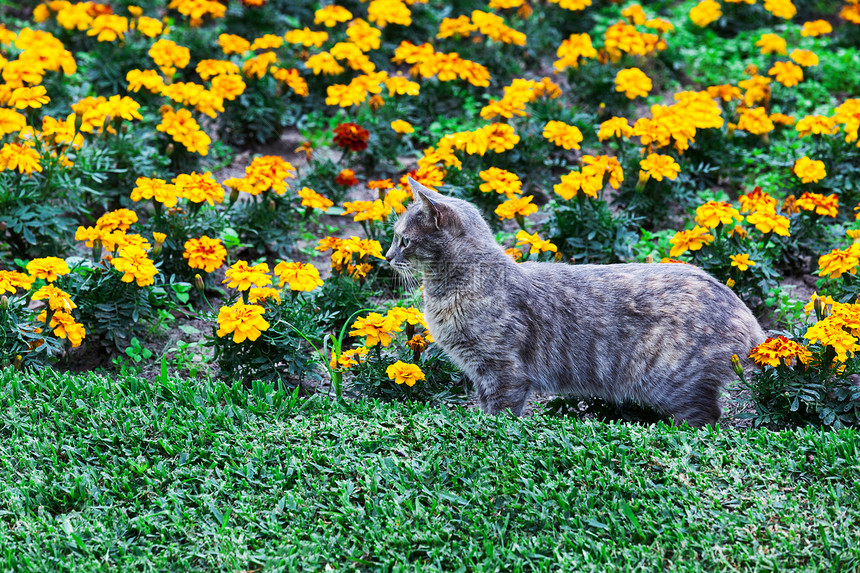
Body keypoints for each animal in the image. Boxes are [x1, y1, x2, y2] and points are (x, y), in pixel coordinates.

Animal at [386, 178, 764, 424]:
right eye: (394, 238)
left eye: (404, 240)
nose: (386, 256)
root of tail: (748, 316)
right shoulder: (480, 374)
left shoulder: (503, 371)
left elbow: (499, 414)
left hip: (674, 382)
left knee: (706, 420)